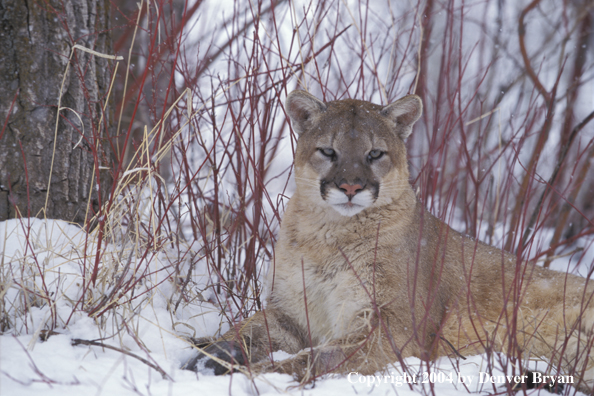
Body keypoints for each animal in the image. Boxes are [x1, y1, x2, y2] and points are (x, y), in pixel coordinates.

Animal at [184, 90, 592, 392]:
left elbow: (319, 357)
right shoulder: (291, 311)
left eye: (374, 153)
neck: (328, 235)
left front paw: (256, 375)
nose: (350, 187)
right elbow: (247, 329)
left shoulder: (390, 326)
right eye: (328, 151)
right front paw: (211, 355)